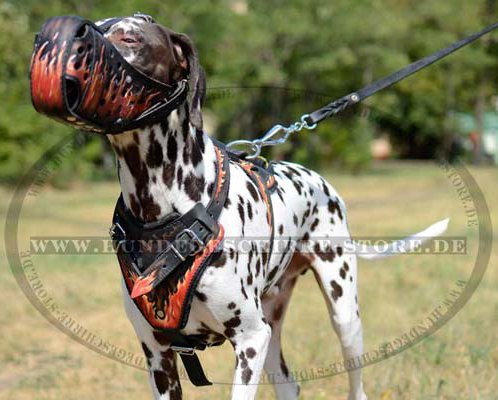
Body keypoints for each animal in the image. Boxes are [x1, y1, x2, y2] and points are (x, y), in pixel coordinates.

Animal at [95, 14, 446, 400]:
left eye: (131, 38)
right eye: (97, 26)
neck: (161, 209)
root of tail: (321, 182)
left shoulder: (250, 340)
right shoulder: (158, 356)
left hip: (342, 315)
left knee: (357, 384)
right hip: (273, 328)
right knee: (288, 384)